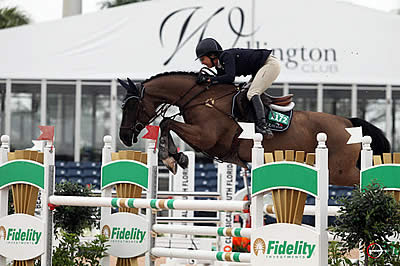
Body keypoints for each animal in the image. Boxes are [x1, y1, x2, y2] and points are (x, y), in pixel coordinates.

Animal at [117, 71, 390, 186]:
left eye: (131, 106)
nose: (124, 136)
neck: (202, 98)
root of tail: (349, 123)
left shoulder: (207, 137)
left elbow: (166, 122)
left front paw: (171, 158)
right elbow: (168, 124)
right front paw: (178, 158)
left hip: (339, 172)